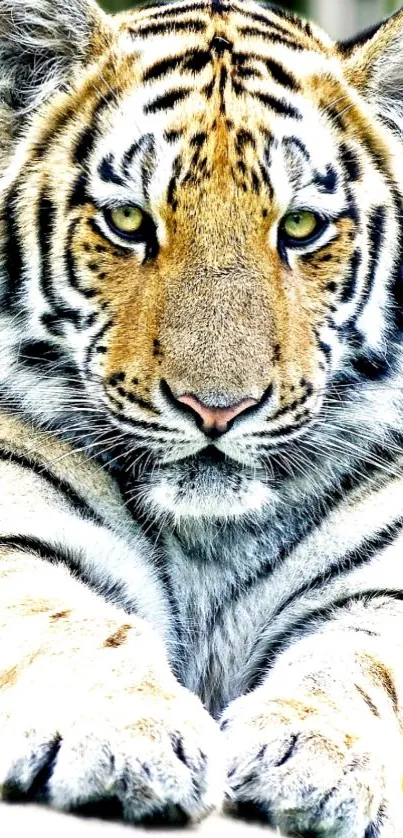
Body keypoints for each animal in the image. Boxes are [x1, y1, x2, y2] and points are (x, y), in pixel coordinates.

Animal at [1, 0, 403, 834]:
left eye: (301, 228)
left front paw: (320, 755)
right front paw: (125, 732)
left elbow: (359, 663)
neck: (210, 543)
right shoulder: (18, 528)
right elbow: (71, 624)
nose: (216, 408)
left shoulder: (383, 584)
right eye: (128, 220)